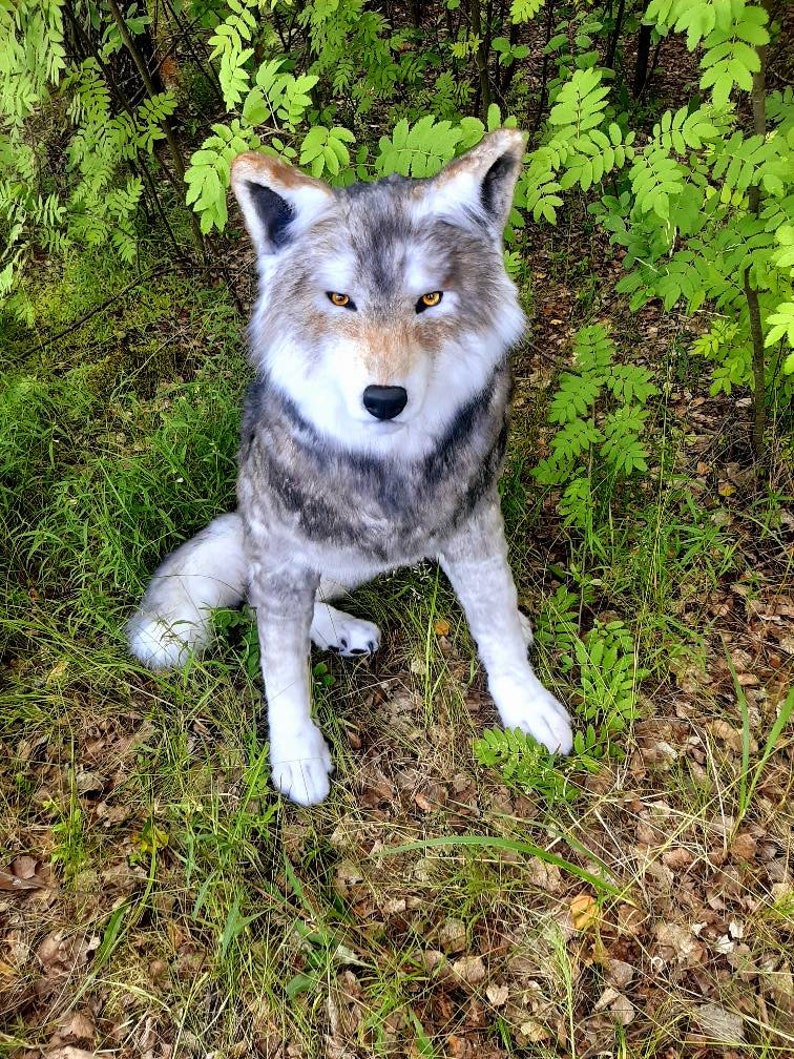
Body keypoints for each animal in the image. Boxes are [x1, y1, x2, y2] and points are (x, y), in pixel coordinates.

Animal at [127, 128, 573, 805]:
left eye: (430, 300)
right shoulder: (283, 557)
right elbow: (282, 672)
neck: (388, 470)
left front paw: (525, 703)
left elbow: (493, 616)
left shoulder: (473, 524)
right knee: (257, 604)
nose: (384, 399)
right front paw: (297, 756)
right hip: (295, 549)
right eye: (341, 300)